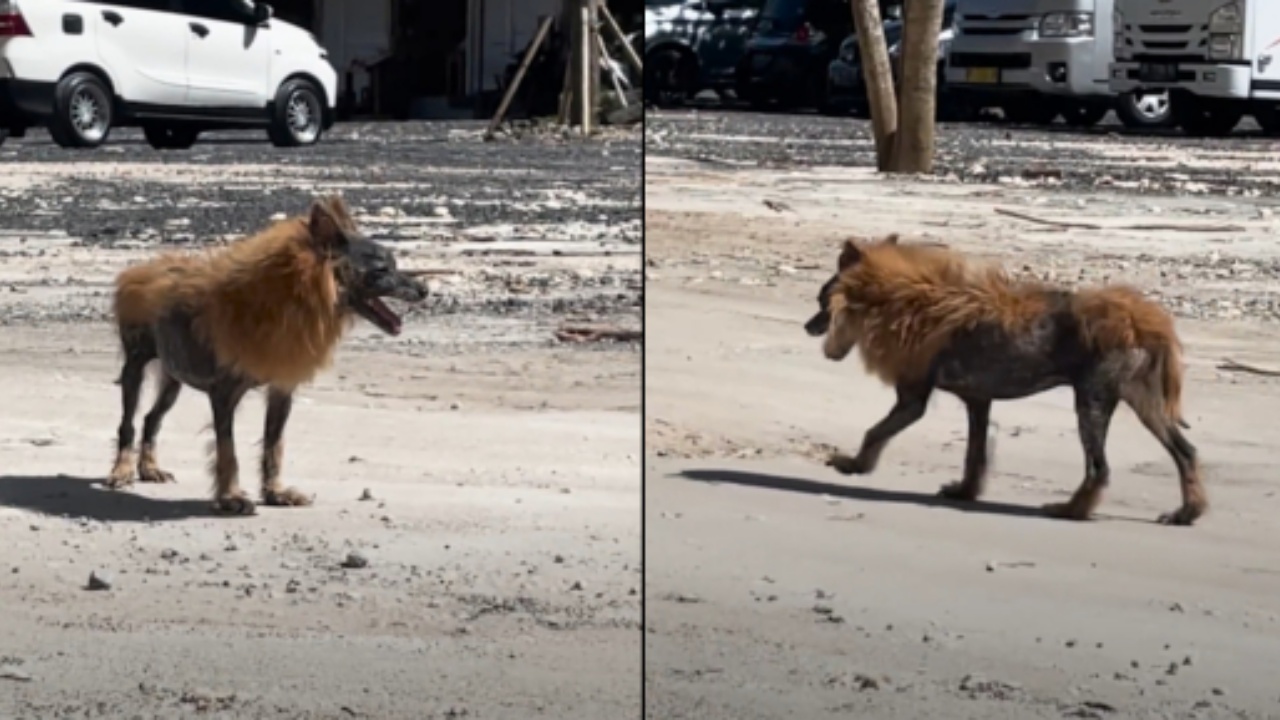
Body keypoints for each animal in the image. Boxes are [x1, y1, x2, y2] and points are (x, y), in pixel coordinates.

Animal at [104, 193, 424, 512]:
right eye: (382, 270)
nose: (425, 290)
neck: (297, 294)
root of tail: (141, 270)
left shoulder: (282, 391)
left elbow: (274, 444)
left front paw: (275, 492)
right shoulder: (224, 395)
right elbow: (227, 450)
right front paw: (231, 497)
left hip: (173, 379)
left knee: (151, 418)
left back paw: (149, 468)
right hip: (134, 367)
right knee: (128, 423)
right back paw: (121, 470)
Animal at [803, 237, 1203, 527]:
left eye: (821, 300)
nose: (807, 326)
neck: (907, 297)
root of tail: (1139, 317)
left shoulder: (912, 400)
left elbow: (874, 433)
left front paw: (854, 465)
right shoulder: (978, 401)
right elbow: (974, 454)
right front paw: (965, 491)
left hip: (1090, 403)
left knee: (1098, 468)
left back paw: (1070, 511)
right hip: (1144, 404)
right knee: (1186, 452)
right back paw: (1187, 512)